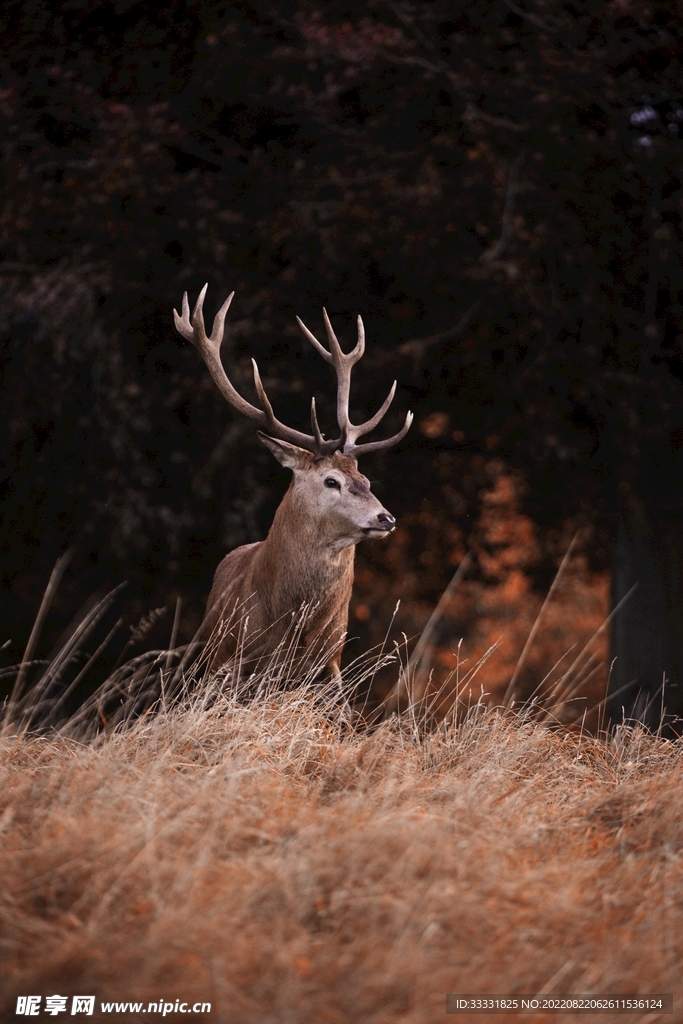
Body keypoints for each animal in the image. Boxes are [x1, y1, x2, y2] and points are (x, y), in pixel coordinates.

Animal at [172, 285, 412, 711]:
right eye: (331, 481)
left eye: (365, 478)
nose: (386, 518)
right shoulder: (237, 661)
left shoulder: (330, 664)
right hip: (207, 654)